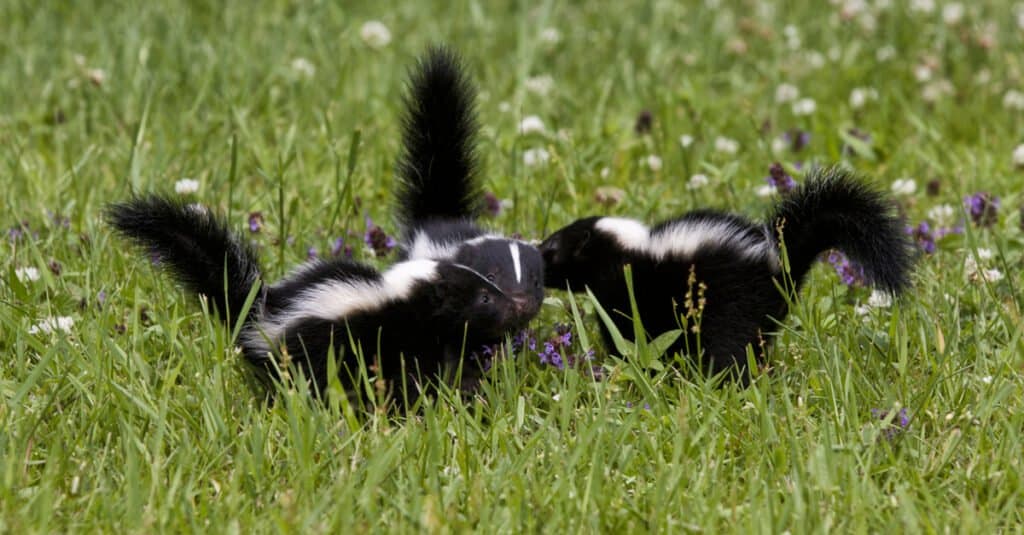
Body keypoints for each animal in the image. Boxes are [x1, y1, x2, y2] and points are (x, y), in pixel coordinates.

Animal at [109, 193, 524, 401]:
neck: (396, 296)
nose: (514, 305)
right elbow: (407, 374)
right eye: (483, 297)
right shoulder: (389, 335)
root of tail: (258, 311)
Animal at [540, 166, 917, 379]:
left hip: (730, 304)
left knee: (729, 345)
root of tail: (776, 262)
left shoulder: (631, 292)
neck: (628, 252)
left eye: (552, 250)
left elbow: (631, 334)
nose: (537, 258)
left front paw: (629, 365)